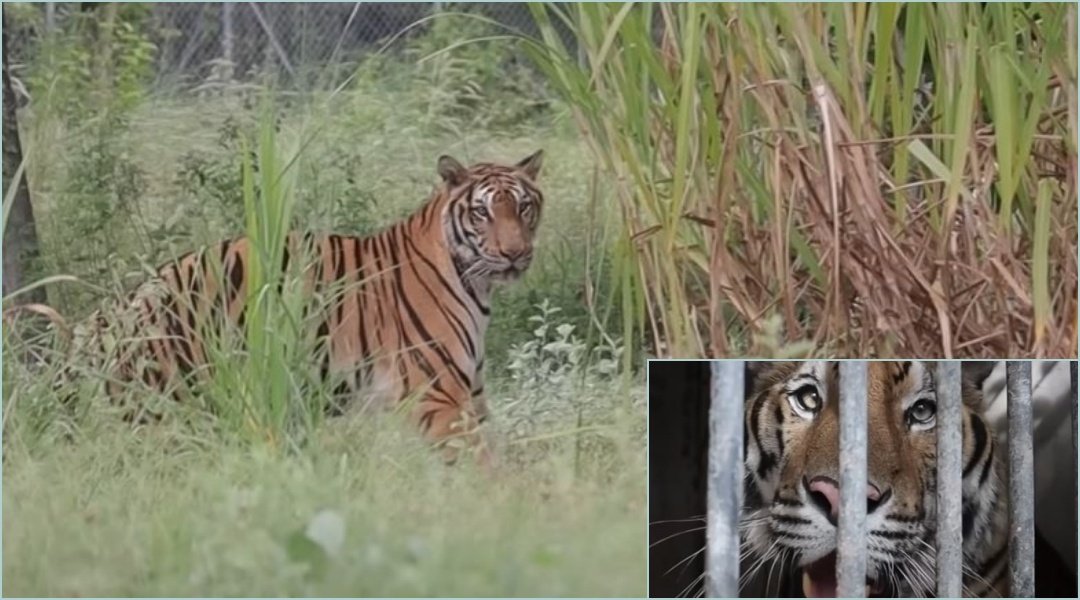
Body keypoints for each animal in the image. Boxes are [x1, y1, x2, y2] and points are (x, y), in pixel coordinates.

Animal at [60, 150, 545, 464]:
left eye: (524, 208)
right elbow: (483, 469)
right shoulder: (439, 396)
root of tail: (124, 300)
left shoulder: (472, 396)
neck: (476, 285)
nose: (516, 254)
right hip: (166, 407)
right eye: (482, 213)